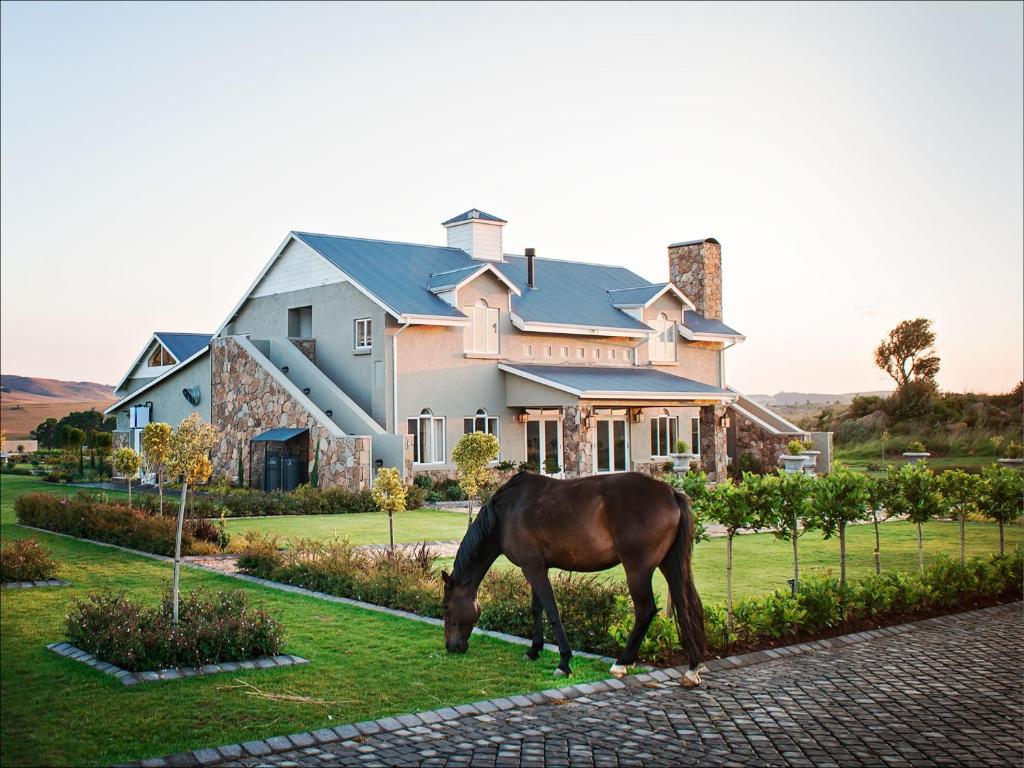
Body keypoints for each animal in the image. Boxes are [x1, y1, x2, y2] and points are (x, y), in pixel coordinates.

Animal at [440, 475, 704, 684]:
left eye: (446, 607)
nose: (451, 647)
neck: (505, 513)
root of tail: (671, 493)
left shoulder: (533, 568)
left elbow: (552, 611)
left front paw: (564, 662)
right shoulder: (536, 567)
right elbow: (536, 609)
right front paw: (534, 650)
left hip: (637, 570)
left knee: (645, 610)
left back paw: (622, 662)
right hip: (668, 564)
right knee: (684, 604)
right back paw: (693, 667)